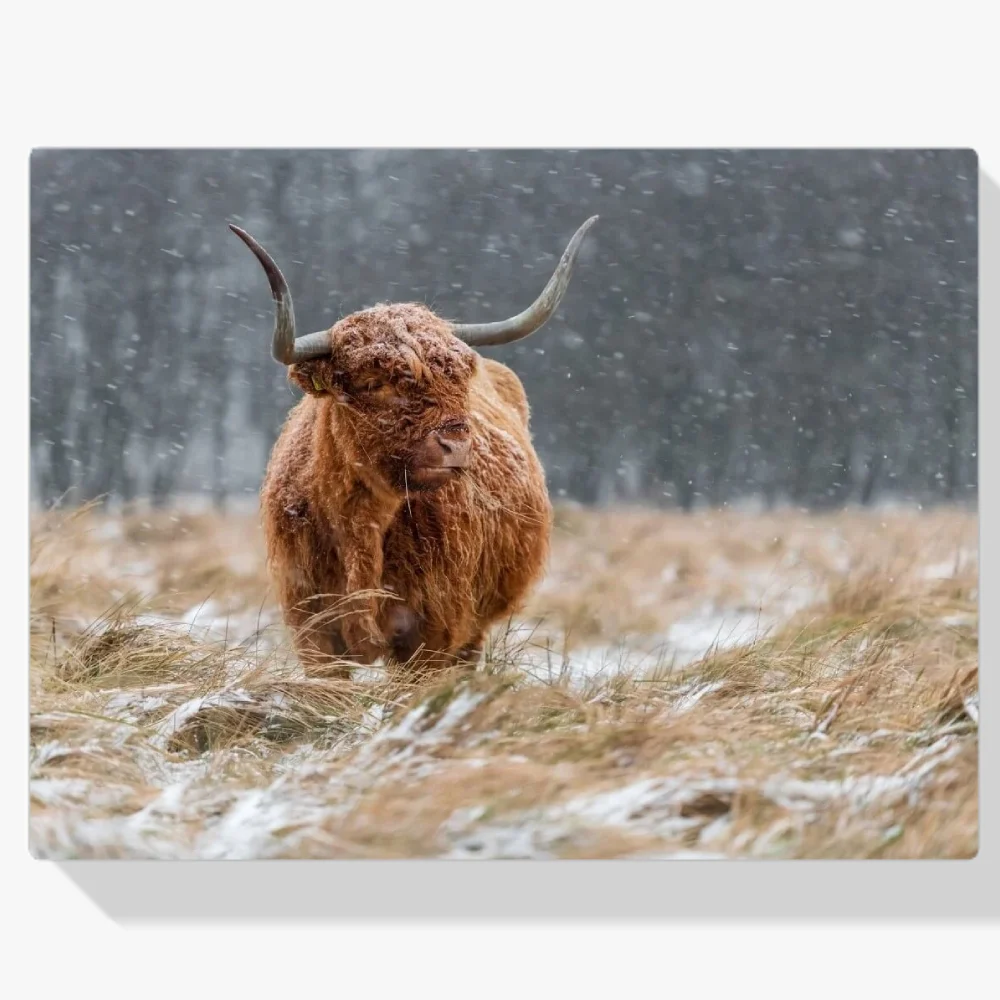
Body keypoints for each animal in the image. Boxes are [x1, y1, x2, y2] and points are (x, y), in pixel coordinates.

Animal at [229, 216, 597, 676]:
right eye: (373, 382)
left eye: (459, 379)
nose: (456, 442)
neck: (361, 523)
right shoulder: (312, 629)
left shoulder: (432, 633)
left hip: (472, 629)